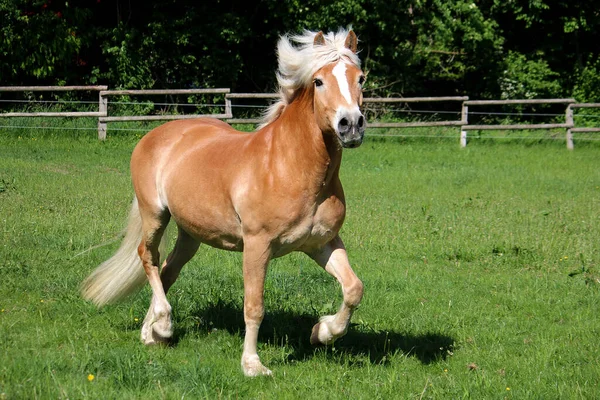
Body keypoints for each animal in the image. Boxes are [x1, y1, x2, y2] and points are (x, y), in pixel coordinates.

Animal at [81, 27, 366, 376]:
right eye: (319, 81)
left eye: (360, 78)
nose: (350, 125)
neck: (288, 166)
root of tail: (156, 135)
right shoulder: (258, 246)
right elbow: (254, 306)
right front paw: (253, 365)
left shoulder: (321, 243)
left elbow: (353, 289)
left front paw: (322, 332)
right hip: (155, 215)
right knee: (148, 257)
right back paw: (164, 323)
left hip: (191, 233)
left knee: (168, 270)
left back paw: (154, 332)